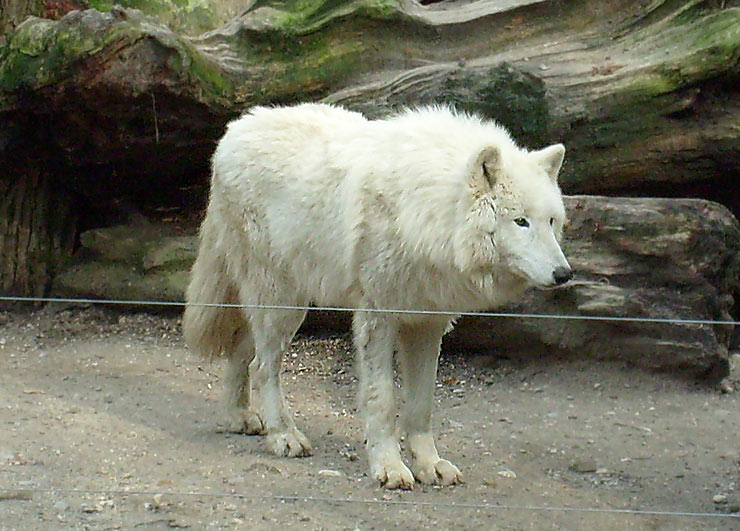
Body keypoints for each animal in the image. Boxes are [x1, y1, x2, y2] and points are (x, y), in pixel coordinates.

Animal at [181, 104, 572, 490]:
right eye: (520, 221)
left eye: (551, 221)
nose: (564, 274)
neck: (429, 211)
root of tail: (236, 128)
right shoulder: (378, 317)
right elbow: (382, 399)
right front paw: (389, 466)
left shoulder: (428, 324)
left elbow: (422, 405)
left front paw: (429, 464)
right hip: (282, 303)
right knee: (262, 367)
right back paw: (283, 436)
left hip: (280, 304)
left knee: (244, 353)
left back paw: (240, 416)